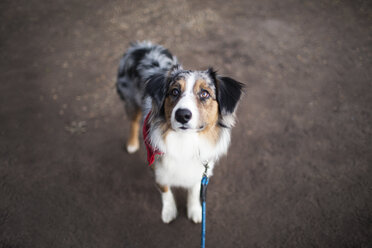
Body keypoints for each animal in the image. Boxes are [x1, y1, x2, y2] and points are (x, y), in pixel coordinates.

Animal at [117, 41, 244, 224]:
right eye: (174, 91)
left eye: (204, 93)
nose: (182, 115)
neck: (185, 140)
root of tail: (140, 46)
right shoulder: (158, 169)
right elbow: (165, 190)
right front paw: (169, 211)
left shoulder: (201, 170)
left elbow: (194, 191)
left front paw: (195, 210)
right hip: (130, 100)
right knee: (133, 120)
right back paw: (132, 144)